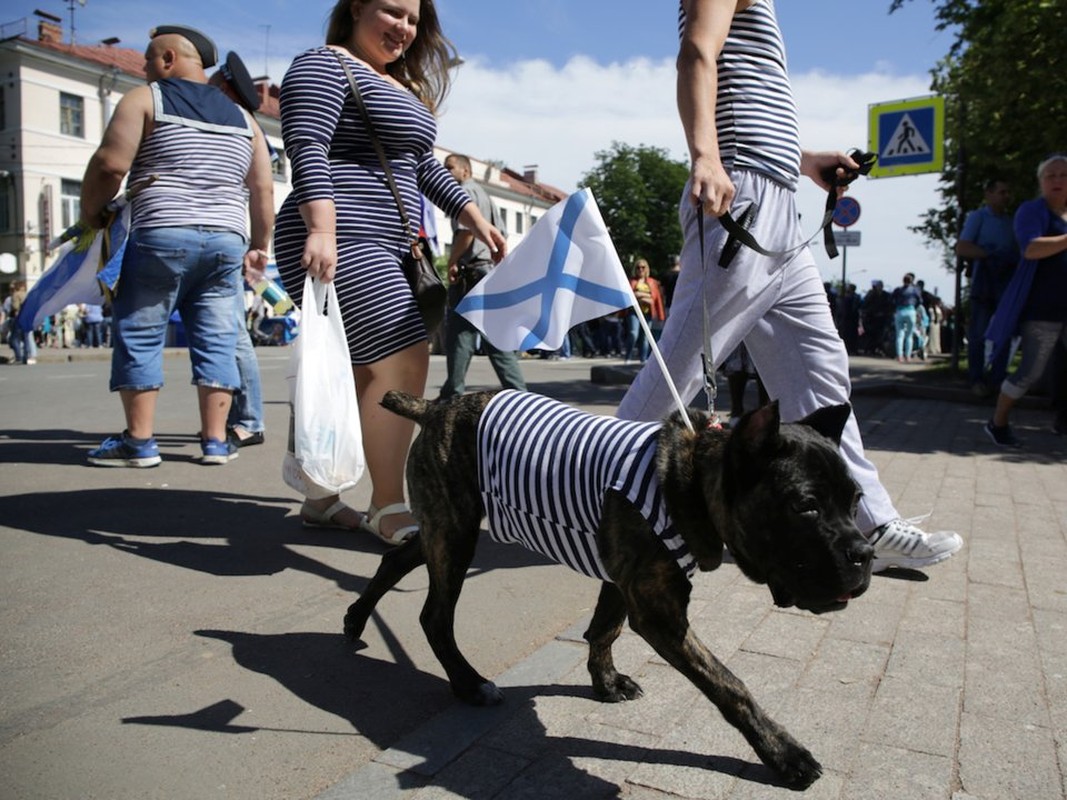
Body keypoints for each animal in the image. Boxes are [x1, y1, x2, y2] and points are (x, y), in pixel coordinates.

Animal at [345, 392, 870, 793]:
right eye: (805, 507)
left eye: (856, 501)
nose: (864, 553)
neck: (690, 481)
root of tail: (437, 406)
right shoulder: (662, 615)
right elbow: (730, 685)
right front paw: (783, 753)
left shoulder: (624, 581)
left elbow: (604, 630)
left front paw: (605, 682)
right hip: (455, 532)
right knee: (434, 616)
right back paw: (469, 683)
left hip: (445, 527)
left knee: (397, 559)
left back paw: (355, 619)